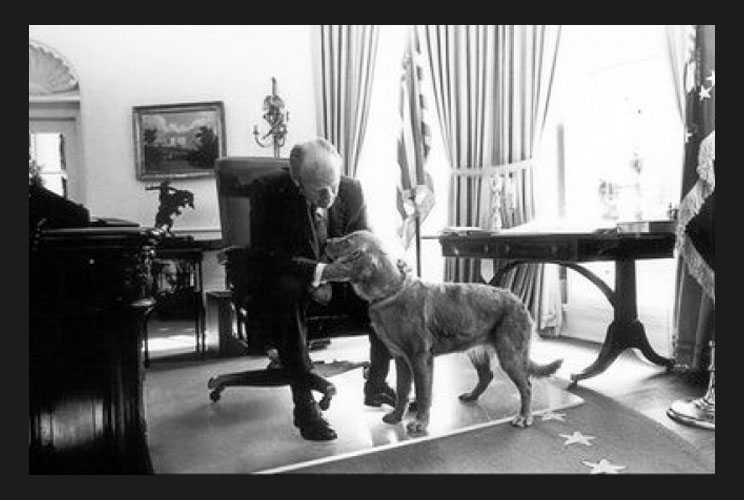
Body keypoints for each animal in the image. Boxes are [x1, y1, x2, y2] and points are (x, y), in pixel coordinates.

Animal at [322, 230, 560, 434]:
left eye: (347, 241)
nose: (326, 241)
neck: (389, 293)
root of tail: (518, 300)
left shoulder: (420, 359)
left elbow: (422, 394)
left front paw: (420, 423)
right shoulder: (400, 358)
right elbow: (402, 391)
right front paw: (396, 417)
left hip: (510, 355)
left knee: (526, 386)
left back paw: (524, 417)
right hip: (477, 350)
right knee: (487, 376)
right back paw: (472, 396)